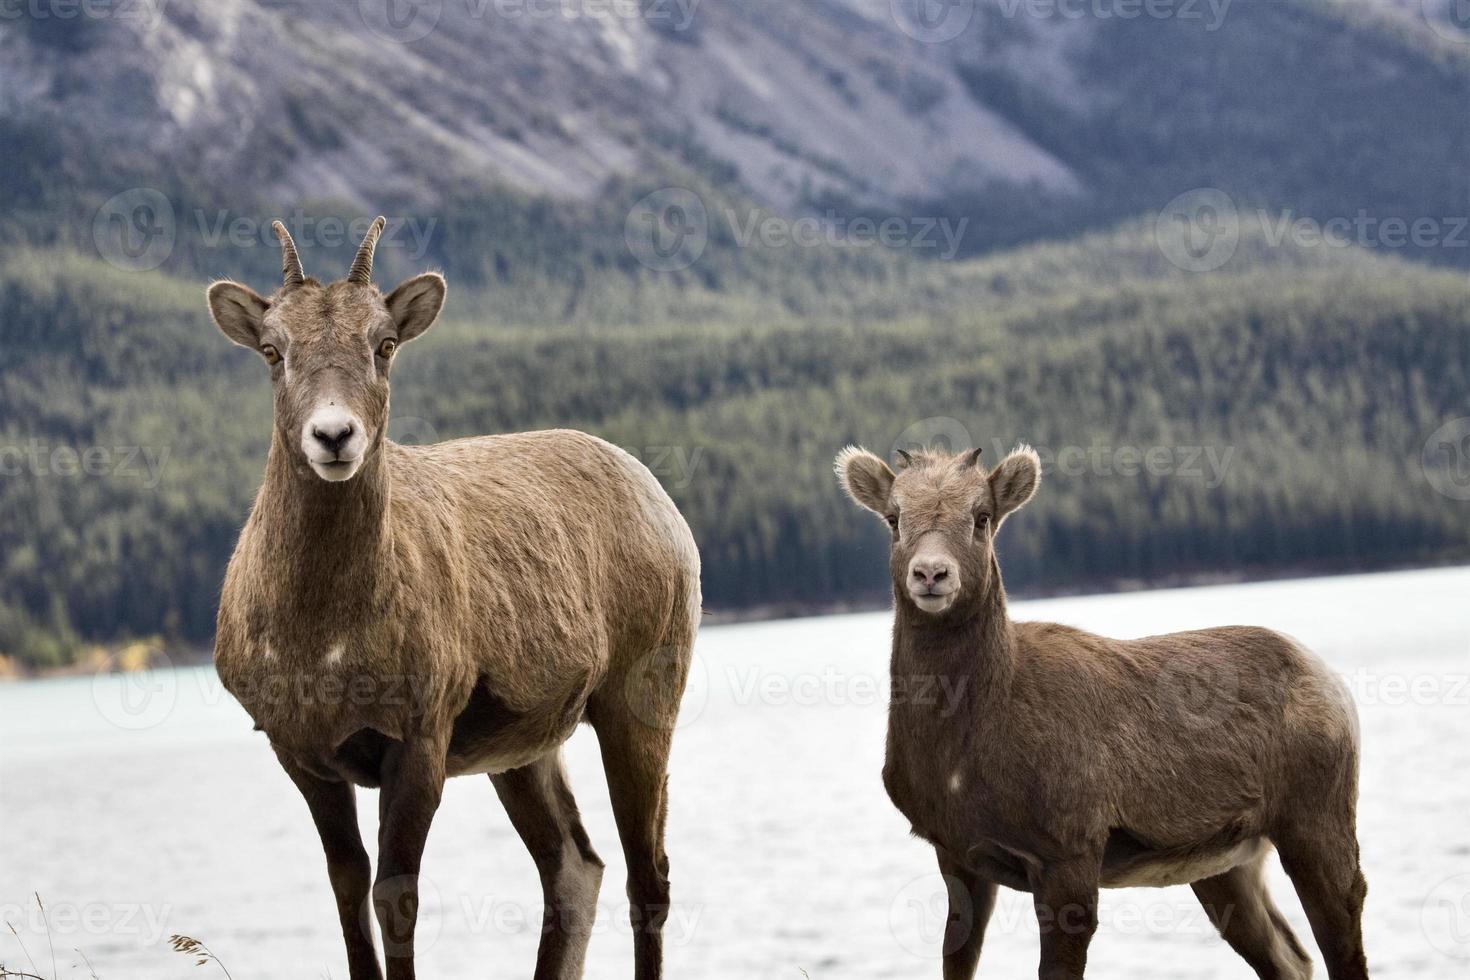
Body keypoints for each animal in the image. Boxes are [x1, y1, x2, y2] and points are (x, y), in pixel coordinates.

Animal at [208, 220, 705, 980]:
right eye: (273, 350)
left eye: (384, 345)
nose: (334, 436)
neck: (324, 638)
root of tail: (658, 498)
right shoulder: (304, 756)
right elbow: (348, 894)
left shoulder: (419, 744)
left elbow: (397, 899)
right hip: (525, 752)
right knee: (574, 867)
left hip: (639, 702)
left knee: (647, 879)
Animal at [834, 446, 1370, 980]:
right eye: (894, 518)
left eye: (981, 517)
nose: (931, 574)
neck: (958, 758)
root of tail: (1333, 685)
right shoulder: (957, 856)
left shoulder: (1070, 852)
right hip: (1225, 863)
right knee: (1289, 958)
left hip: (1316, 820)